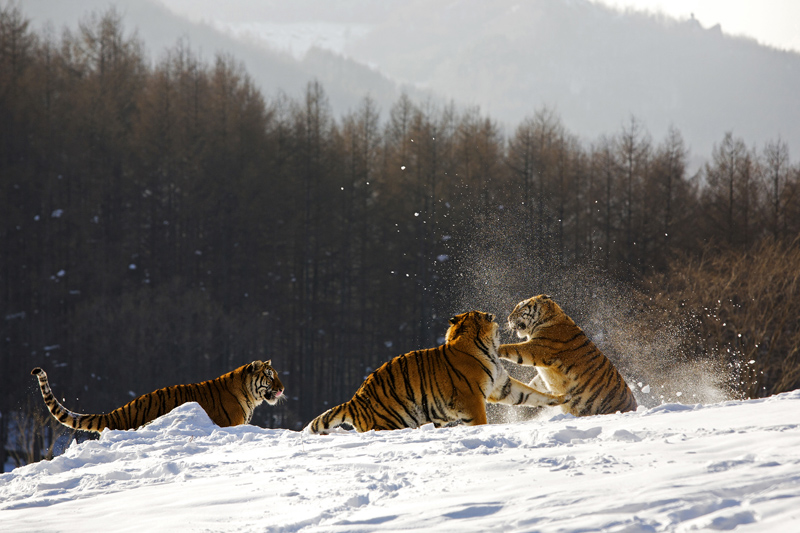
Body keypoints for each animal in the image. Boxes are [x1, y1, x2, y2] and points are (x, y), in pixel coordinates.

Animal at [304, 310, 572, 434]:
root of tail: (354, 401)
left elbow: (530, 395)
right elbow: (481, 421)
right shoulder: (472, 399)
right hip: (391, 422)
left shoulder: (502, 386)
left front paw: (561, 398)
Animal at [500, 296, 636, 416]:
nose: (508, 318)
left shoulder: (537, 348)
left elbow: (513, 348)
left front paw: (498, 349)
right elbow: (536, 383)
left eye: (521, 306)